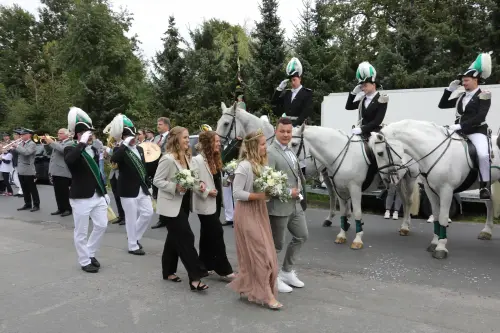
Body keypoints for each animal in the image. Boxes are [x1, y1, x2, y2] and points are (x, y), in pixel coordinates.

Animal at [292, 123, 420, 248]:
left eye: (293, 144)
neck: (343, 155)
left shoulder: (355, 189)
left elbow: (357, 213)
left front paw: (358, 239)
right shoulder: (340, 189)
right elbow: (343, 212)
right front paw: (342, 235)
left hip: (410, 179)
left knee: (408, 202)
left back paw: (405, 227)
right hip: (398, 182)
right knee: (404, 202)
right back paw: (404, 225)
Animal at [368, 119, 500, 260]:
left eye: (380, 153)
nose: (384, 180)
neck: (434, 151)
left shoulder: (446, 190)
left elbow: (443, 217)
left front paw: (441, 248)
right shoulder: (430, 190)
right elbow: (436, 215)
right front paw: (434, 243)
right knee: (489, 203)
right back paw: (486, 232)